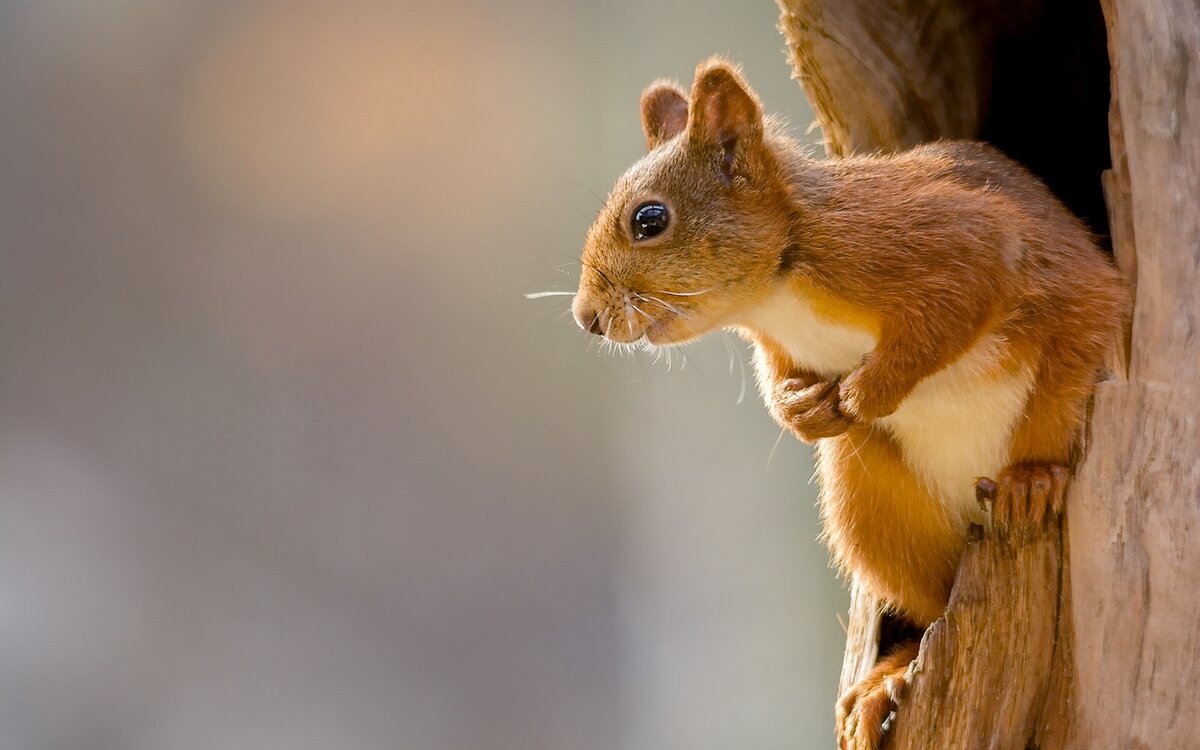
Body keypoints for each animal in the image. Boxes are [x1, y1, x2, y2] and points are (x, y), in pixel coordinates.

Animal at [571, 58, 1123, 748]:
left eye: (650, 220)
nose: (586, 318)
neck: (777, 289)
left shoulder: (931, 240)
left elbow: (954, 305)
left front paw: (867, 391)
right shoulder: (780, 344)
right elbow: (782, 380)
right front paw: (800, 409)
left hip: (1072, 363)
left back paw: (1030, 480)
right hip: (872, 509)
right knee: (933, 607)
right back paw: (890, 677)